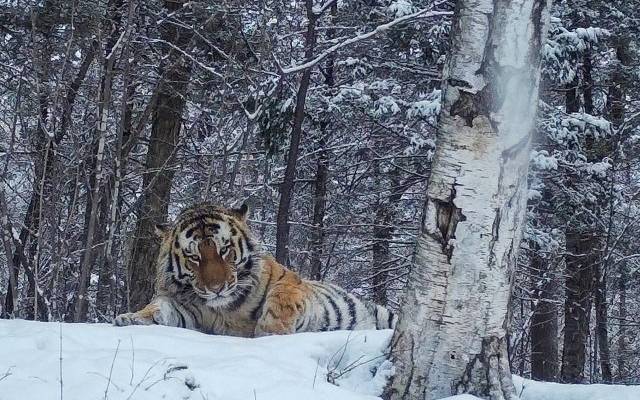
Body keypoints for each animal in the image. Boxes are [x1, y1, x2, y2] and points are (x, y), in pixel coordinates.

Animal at [114, 203, 396, 338]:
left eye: (224, 250)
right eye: (194, 257)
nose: (216, 289)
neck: (225, 309)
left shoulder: (289, 279)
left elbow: (281, 299)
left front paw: (270, 332)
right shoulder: (186, 306)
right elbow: (159, 308)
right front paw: (130, 318)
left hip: (384, 315)